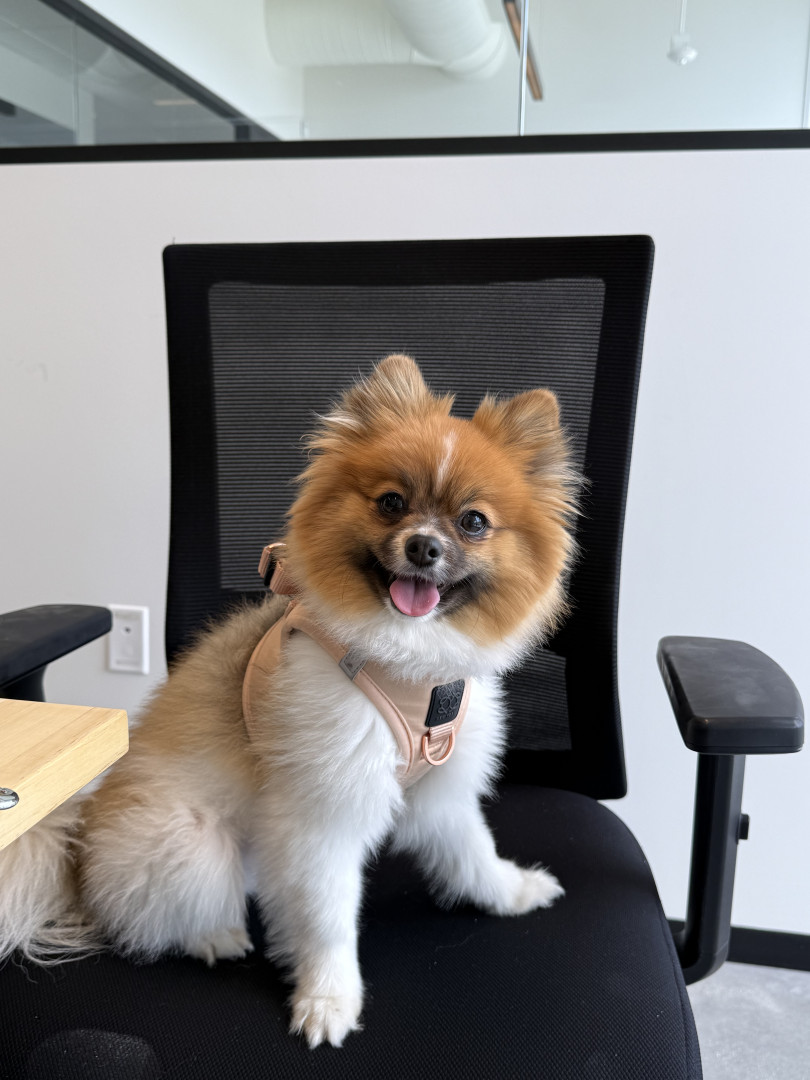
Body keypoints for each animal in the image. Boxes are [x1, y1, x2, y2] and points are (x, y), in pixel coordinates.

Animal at [0, 354, 577, 1048]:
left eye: (473, 522)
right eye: (391, 503)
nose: (423, 547)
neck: (408, 664)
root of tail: (76, 862)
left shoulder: (442, 786)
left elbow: (471, 852)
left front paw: (510, 892)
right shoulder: (321, 812)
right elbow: (328, 915)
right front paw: (329, 998)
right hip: (188, 840)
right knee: (149, 916)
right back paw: (215, 935)